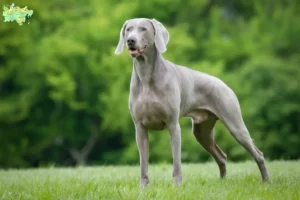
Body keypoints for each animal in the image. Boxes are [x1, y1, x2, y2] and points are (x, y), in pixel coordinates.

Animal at [115, 17, 270, 188]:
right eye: (128, 29)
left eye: (143, 29)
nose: (130, 40)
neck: (146, 74)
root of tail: (224, 84)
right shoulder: (140, 128)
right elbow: (143, 163)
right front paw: (143, 188)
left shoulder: (173, 125)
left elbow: (176, 162)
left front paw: (177, 186)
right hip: (201, 131)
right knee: (221, 156)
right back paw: (222, 182)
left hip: (235, 124)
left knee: (258, 154)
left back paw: (266, 180)